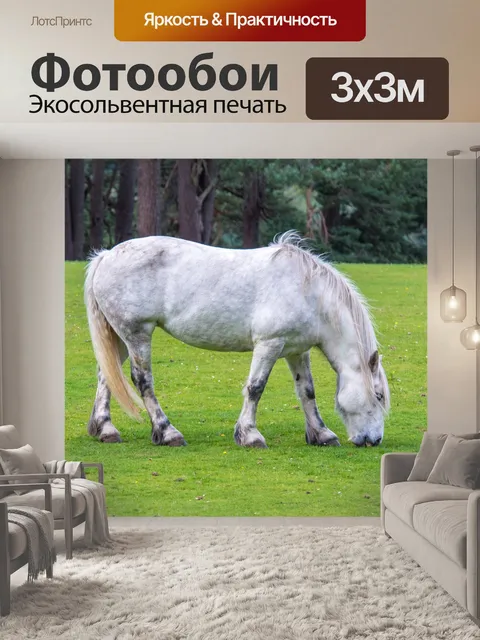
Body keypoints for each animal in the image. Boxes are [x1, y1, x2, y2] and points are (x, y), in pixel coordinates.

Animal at [84, 232, 390, 448]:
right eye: (378, 395)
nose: (374, 440)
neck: (308, 292)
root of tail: (106, 256)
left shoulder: (296, 351)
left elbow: (307, 391)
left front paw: (322, 434)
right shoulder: (269, 344)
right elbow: (255, 388)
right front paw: (250, 435)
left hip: (118, 337)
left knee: (106, 374)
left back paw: (105, 429)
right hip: (137, 334)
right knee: (142, 380)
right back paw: (167, 432)